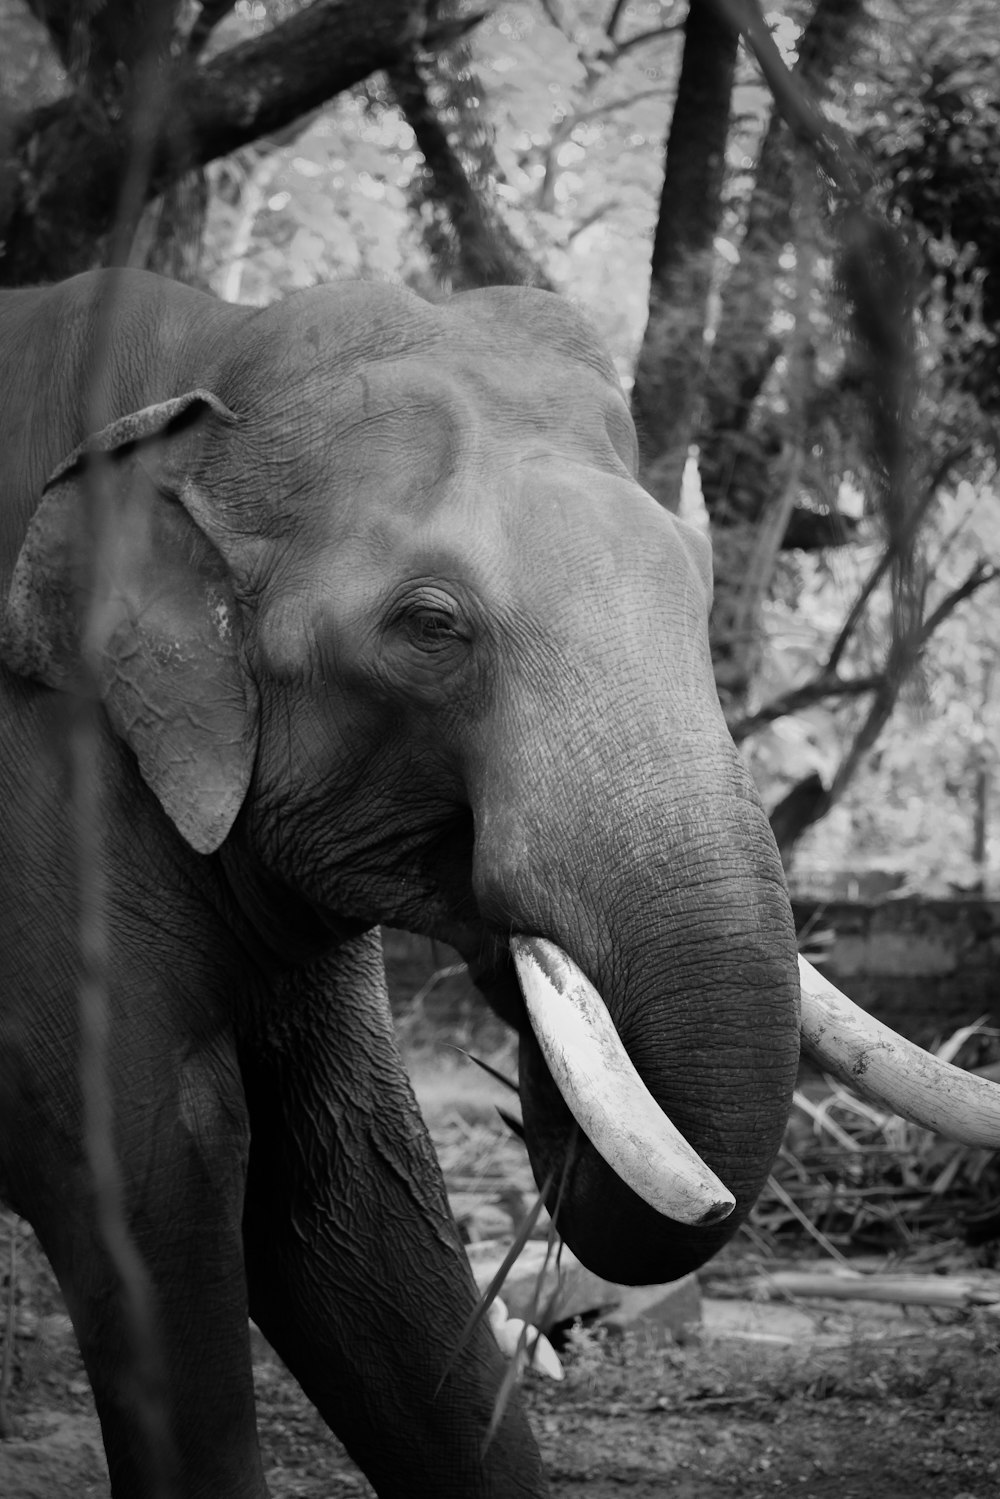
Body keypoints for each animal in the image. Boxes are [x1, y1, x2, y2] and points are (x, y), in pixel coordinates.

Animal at [1, 272, 995, 1499]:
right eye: (430, 626)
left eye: (704, 581)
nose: (530, 1099)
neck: (208, 353)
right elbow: (156, 1166)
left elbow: (349, 1183)